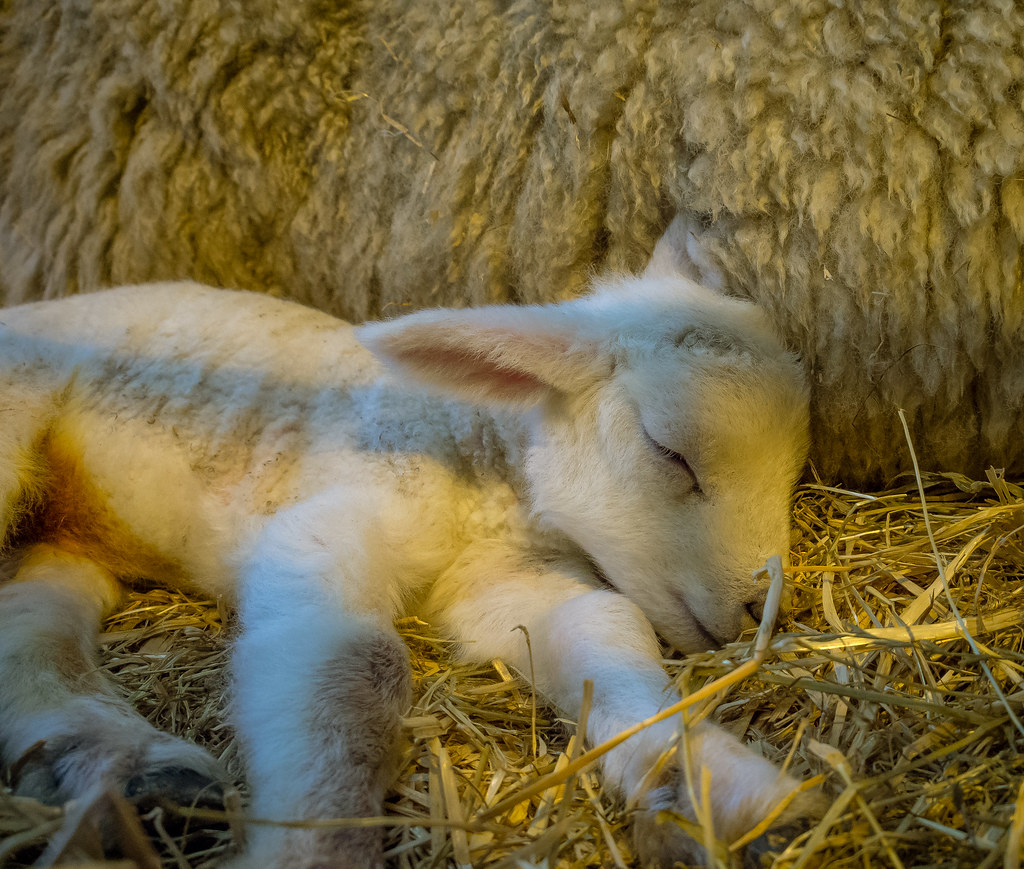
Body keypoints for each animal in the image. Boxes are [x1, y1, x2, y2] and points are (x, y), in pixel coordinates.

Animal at [0, 252, 811, 866]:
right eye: (669, 451)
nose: (755, 609)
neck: (470, 444)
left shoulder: (497, 580)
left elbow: (603, 628)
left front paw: (718, 787)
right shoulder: (335, 523)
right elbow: (357, 663)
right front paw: (313, 846)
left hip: (63, 537)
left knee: (28, 626)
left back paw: (133, 776)